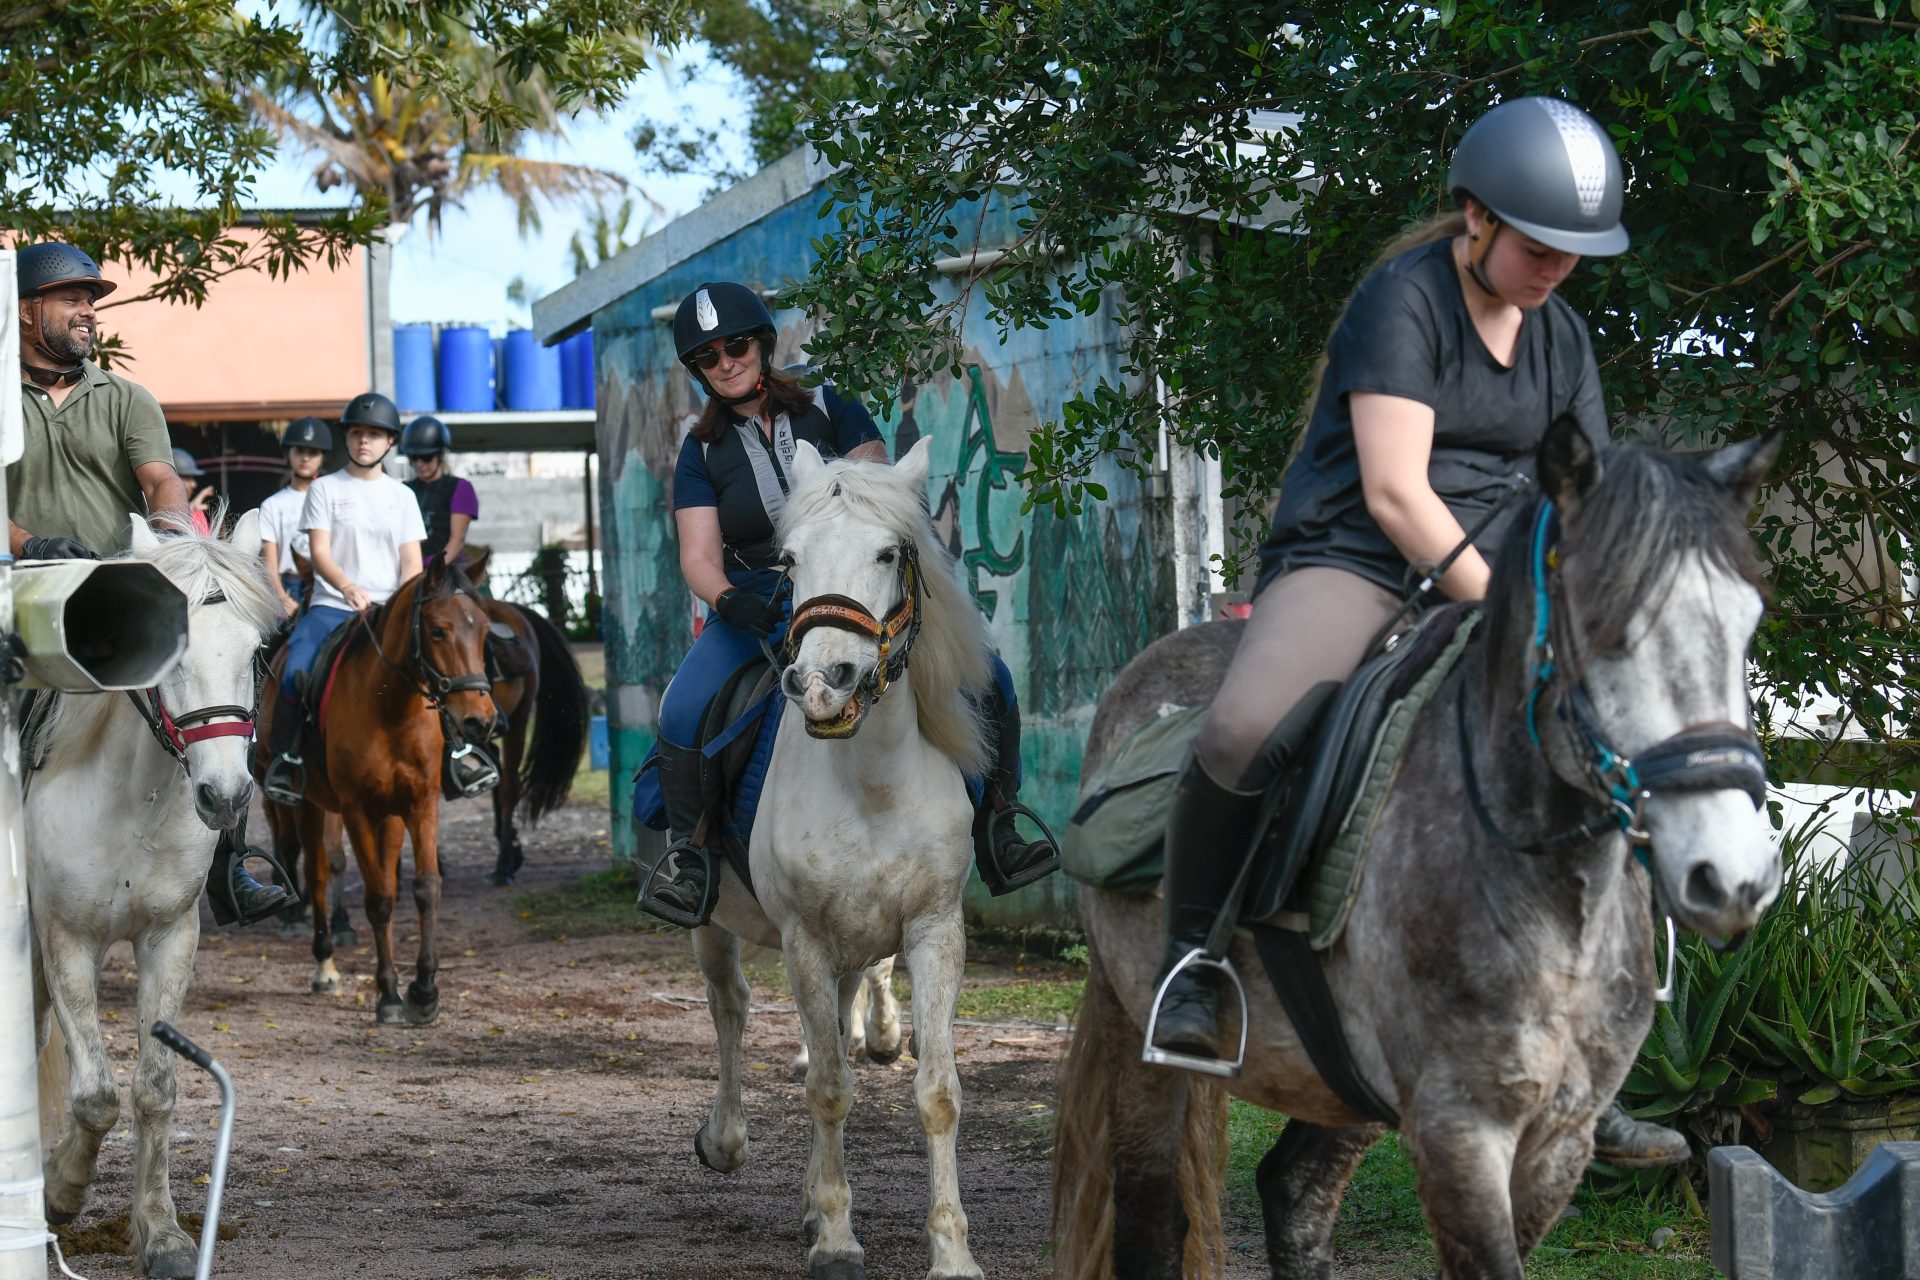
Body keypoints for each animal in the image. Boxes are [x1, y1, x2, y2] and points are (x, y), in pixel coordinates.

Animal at [30, 514, 280, 1280]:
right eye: (170, 655)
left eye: (256, 653)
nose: (224, 796)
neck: (129, 800)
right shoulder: (65, 940)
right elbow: (95, 1094)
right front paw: (60, 1190)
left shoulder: (170, 937)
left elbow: (152, 1088)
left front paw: (161, 1233)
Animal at [251, 556, 499, 1028]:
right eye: (437, 630)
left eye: (484, 631)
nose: (480, 721)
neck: (392, 707)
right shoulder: (357, 809)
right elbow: (380, 898)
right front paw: (389, 995)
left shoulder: (416, 805)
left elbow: (424, 888)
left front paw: (425, 992)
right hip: (303, 801)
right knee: (313, 869)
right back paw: (323, 963)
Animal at [691, 435, 990, 1274]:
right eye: (788, 560)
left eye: (890, 552)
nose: (824, 683)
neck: (872, 783)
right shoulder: (804, 940)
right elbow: (826, 1086)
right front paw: (834, 1237)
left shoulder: (933, 932)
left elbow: (937, 1092)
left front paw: (951, 1251)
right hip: (712, 923)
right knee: (731, 1006)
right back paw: (726, 1142)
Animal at [1052, 422, 1781, 1280]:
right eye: (1604, 623)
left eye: (1748, 622)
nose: (1731, 877)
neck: (1546, 896)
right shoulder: (1459, 1131)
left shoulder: (1557, 1142)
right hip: (1137, 1034)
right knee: (1152, 1223)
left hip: (1344, 1083)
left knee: (1294, 1193)